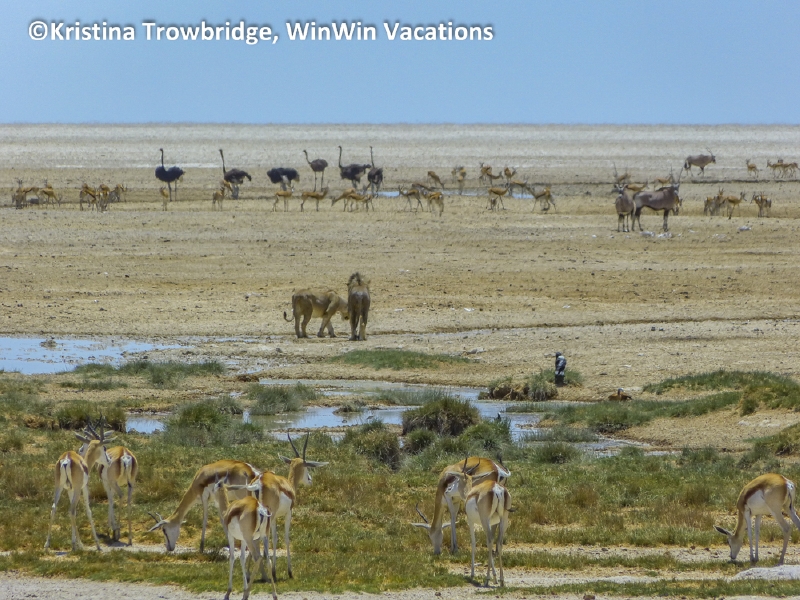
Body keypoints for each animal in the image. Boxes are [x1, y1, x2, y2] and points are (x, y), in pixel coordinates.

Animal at [76, 417, 138, 545]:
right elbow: (111, 499)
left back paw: (117, 534)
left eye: (85, 443)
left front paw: (110, 529)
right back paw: (129, 538)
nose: (80, 451)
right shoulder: (113, 484)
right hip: (131, 483)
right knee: (128, 500)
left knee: (121, 495)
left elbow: (110, 500)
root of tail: (125, 455)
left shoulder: (106, 482)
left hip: (115, 484)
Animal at [229, 433, 328, 580]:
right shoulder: (287, 514)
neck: (288, 485)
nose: (310, 480)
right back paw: (267, 572)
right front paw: (288, 572)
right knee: (264, 537)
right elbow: (283, 537)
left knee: (253, 538)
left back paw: (251, 573)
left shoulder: (275, 517)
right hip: (268, 515)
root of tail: (259, 482)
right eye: (307, 467)